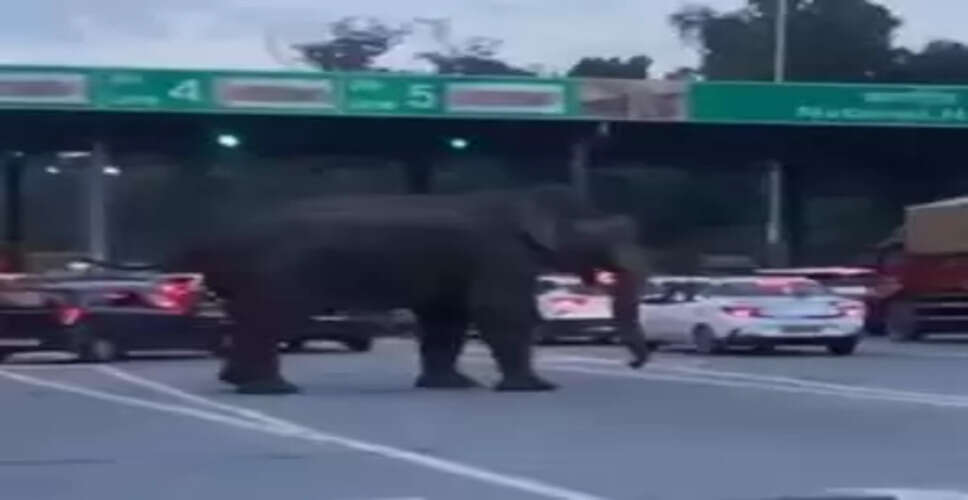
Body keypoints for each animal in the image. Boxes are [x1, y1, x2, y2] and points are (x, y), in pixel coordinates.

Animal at [107, 185, 651, 394]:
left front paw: (451, 386)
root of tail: (209, 239)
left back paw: (239, 383)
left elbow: (447, 319)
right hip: (277, 274)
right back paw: (274, 390)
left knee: (246, 321)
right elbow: (500, 312)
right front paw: (535, 388)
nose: (634, 363)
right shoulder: (498, 256)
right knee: (272, 321)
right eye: (613, 236)